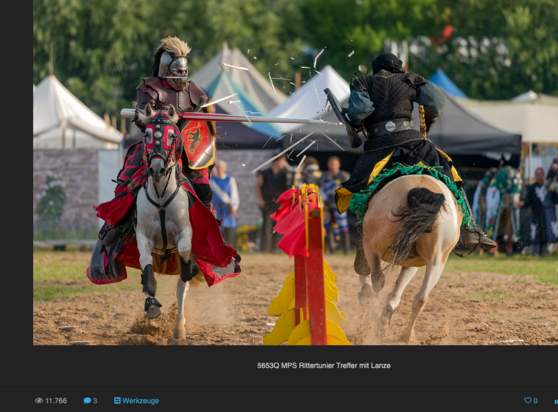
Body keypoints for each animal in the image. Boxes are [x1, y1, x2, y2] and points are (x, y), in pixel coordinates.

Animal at [136, 104, 197, 342]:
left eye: (172, 136)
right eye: (146, 134)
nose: (156, 169)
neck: (162, 196)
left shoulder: (184, 234)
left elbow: (186, 258)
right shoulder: (143, 236)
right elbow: (146, 267)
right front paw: (152, 305)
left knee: (182, 288)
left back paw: (179, 327)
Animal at [358, 175, 464, 344]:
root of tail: (423, 189)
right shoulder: (412, 263)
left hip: (371, 246)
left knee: (377, 280)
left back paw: (370, 320)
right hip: (437, 261)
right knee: (421, 298)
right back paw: (406, 335)